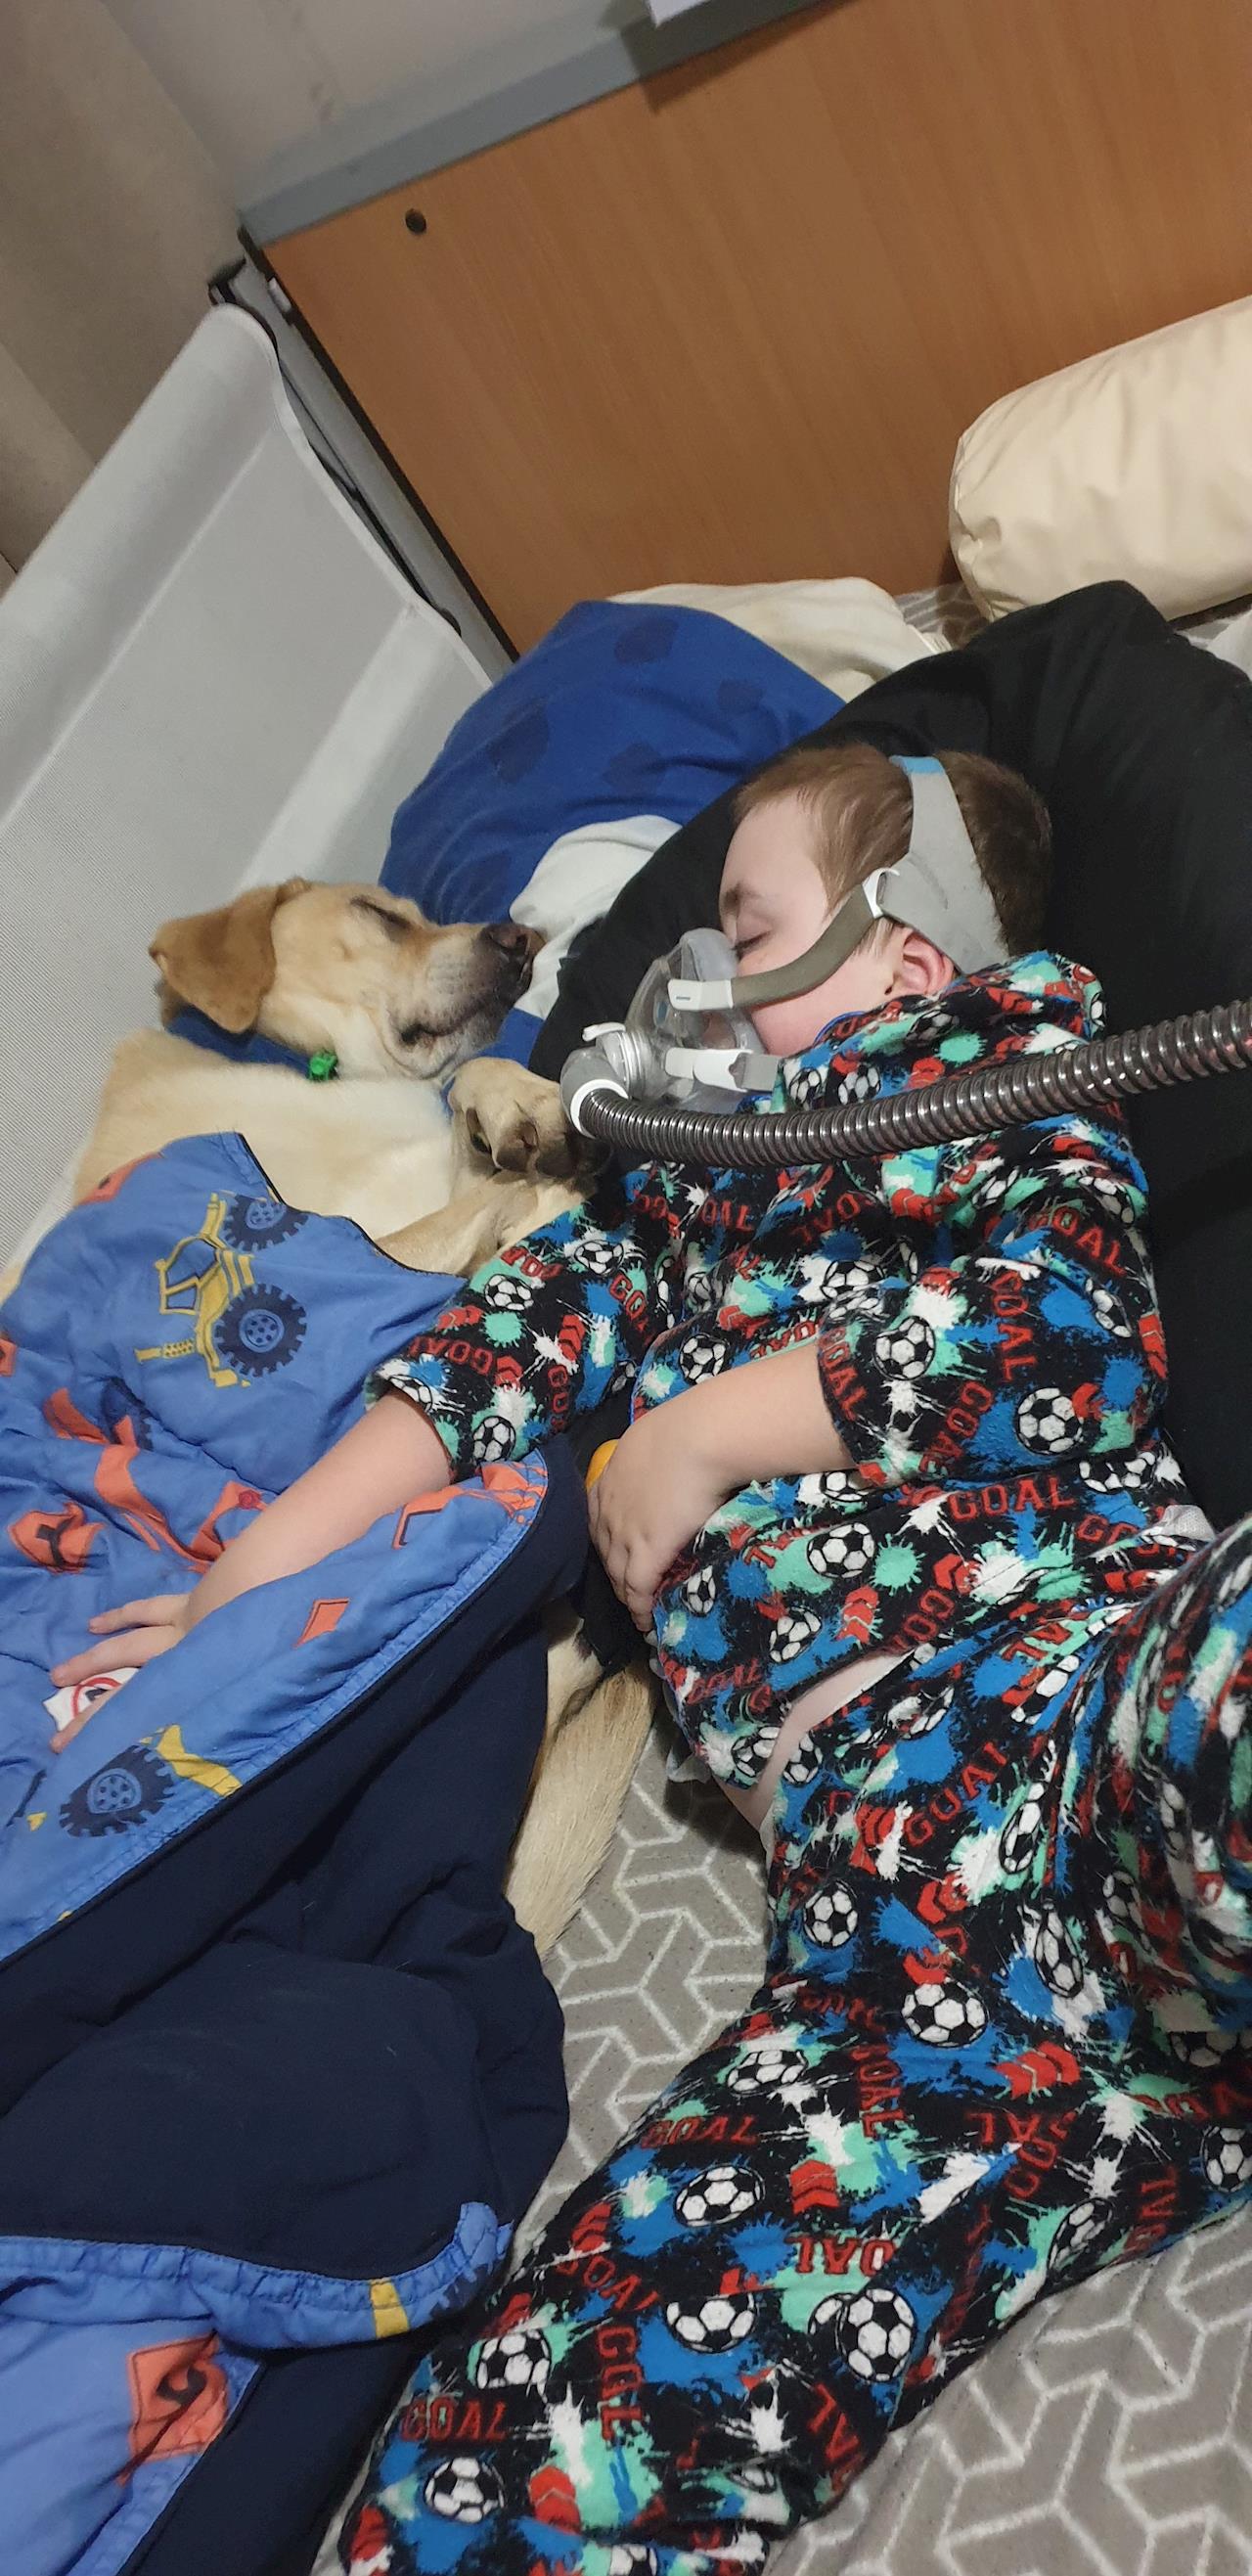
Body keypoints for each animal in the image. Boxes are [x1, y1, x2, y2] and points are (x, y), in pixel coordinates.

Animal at [71, 877, 655, 1955]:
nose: (522, 941)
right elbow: (479, 1217)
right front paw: (552, 1176)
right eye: (378, 915)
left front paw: (523, 1102)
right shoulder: (340, 1256)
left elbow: (481, 1106)